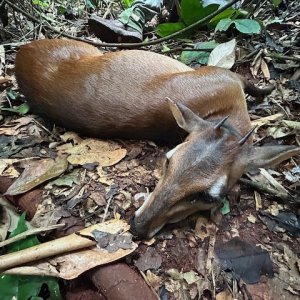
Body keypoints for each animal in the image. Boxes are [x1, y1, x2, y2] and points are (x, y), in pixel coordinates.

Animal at [14, 38, 300, 238]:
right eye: (168, 160)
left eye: (208, 197)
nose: (138, 226)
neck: (226, 113)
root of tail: (21, 51)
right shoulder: (223, 74)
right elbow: (248, 80)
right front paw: (267, 88)